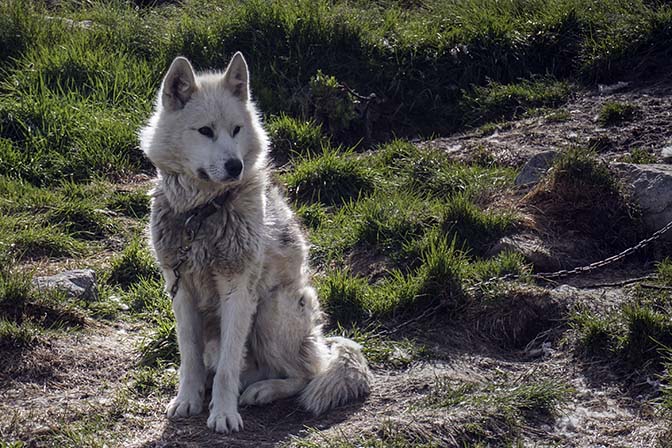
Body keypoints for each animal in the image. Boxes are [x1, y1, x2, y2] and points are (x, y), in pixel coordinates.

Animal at [140, 53, 372, 434]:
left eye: (236, 130)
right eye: (205, 131)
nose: (235, 166)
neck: (202, 213)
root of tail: (319, 338)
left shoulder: (237, 291)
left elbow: (229, 366)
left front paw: (223, 414)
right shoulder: (180, 289)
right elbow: (189, 357)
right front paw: (187, 399)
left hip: (270, 309)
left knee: (307, 372)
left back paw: (262, 391)